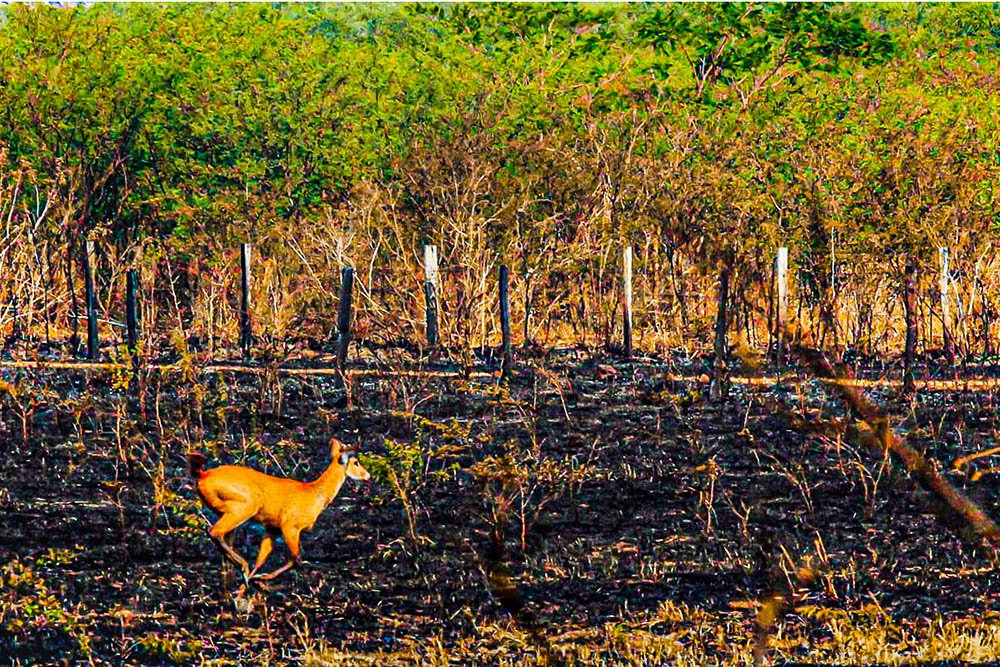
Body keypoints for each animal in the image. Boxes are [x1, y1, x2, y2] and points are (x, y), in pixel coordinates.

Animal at [186, 438, 370, 596]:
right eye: (356, 462)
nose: (368, 476)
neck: (315, 495)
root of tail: (203, 475)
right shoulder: (290, 525)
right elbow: (297, 558)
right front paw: (261, 580)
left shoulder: (272, 527)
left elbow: (262, 558)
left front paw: (249, 586)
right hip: (246, 504)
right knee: (214, 531)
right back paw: (243, 567)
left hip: (225, 509)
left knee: (221, 539)